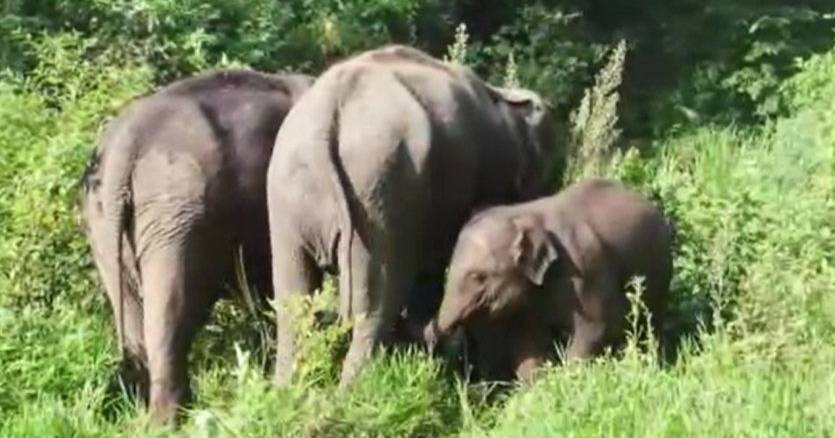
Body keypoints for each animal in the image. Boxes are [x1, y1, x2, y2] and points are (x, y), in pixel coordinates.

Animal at [266, 45, 559, 387]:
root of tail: (332, 108)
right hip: (381, 191)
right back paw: (354, 391)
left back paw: (287, 391)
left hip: (289, 197)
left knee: (293, 302)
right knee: (376, 300)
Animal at [425, 178, 673, 381]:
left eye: (478, 277)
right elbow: (527, 342)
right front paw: (537, 390)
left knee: (651, 321)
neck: (521, 215)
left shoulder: (586, 269)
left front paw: (567, 379)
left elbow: (600, 325)